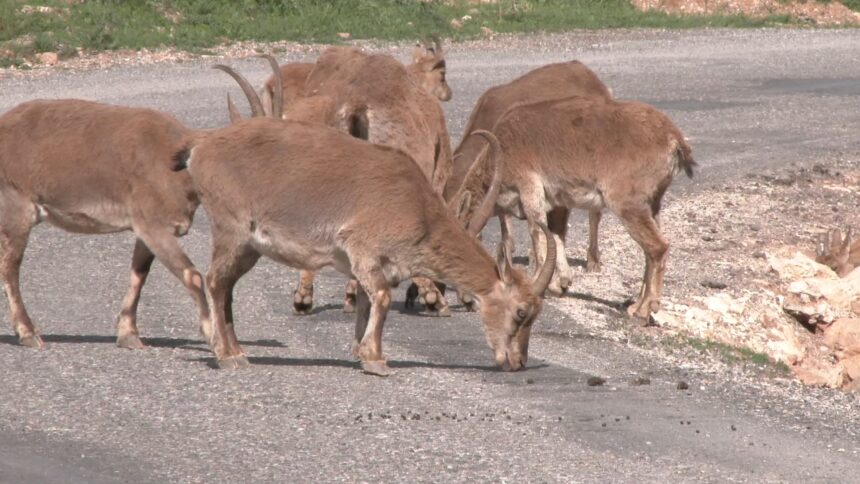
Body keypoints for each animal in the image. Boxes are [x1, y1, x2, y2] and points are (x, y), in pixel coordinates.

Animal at [0, 99, 210, 348]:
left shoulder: (144, 229)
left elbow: (139, 273)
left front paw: (129, 335)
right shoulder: (153, 224)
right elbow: (192, 275)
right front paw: (214, 335)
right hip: (17, 208)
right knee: (9, 267)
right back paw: (29, 333)